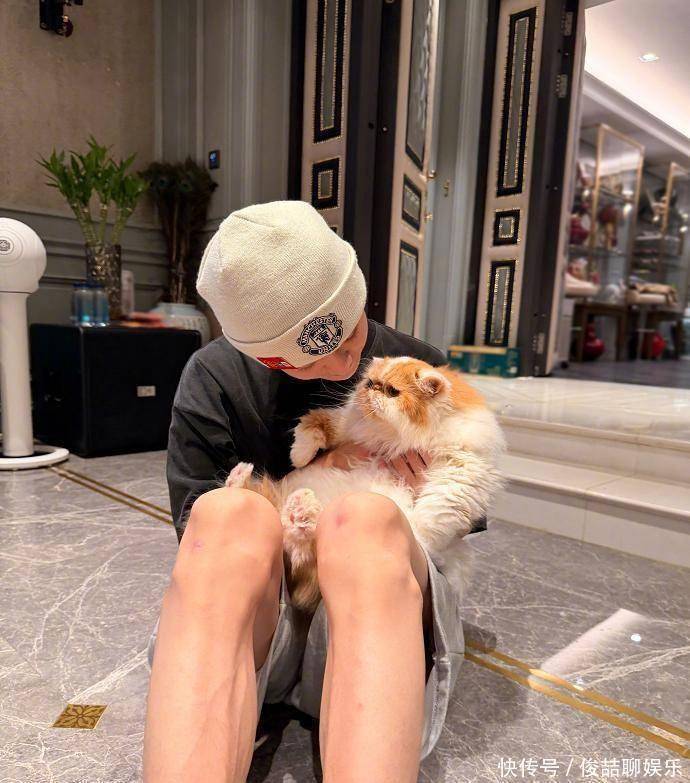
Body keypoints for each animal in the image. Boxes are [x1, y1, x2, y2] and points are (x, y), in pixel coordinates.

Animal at [225, 356, 506, 614]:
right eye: (371, 383)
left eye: (392, 391)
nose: (373, 391)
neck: (392, 437)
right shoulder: (344, 423)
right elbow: (312, 428)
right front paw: (299, 457)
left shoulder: (461, 467)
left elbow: (436, 510)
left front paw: (421, 534)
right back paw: (249, 479)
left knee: (301, 544)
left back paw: (295, 506)